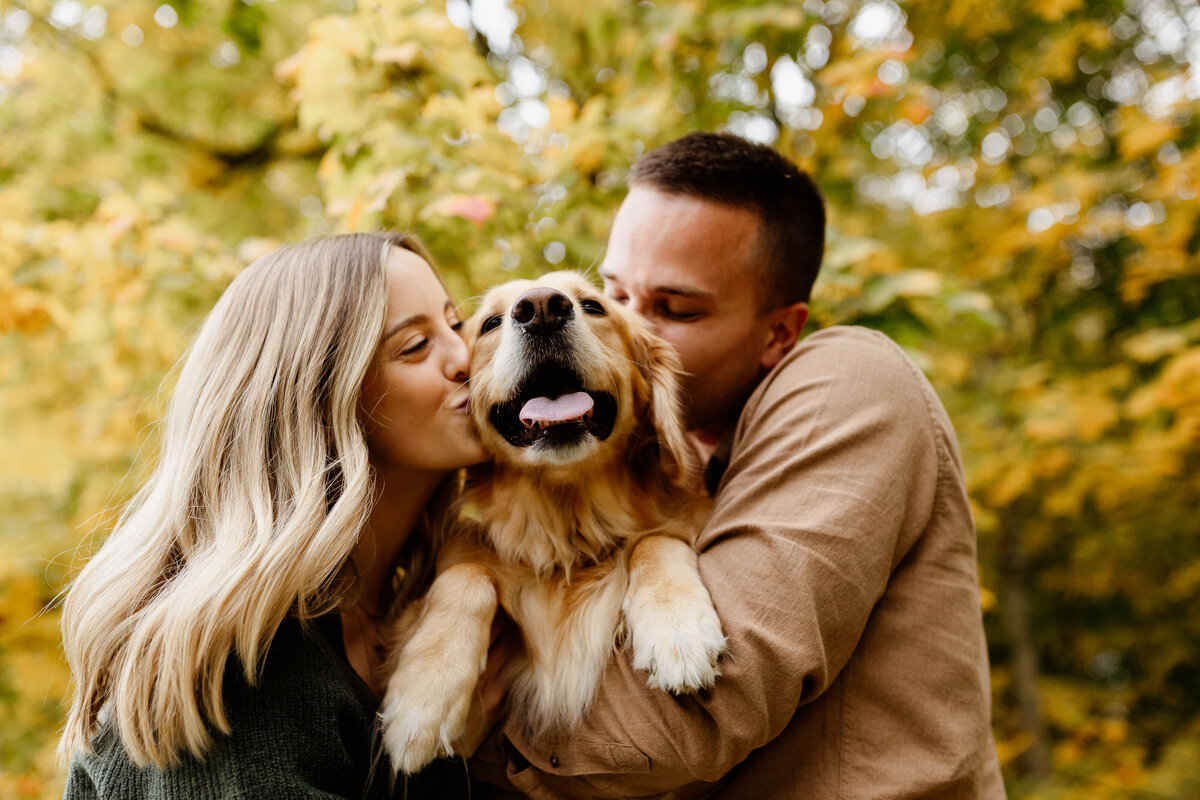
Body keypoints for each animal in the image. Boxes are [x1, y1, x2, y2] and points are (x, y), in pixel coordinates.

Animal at [379, 272, 724, 772]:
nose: (541, 308)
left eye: (594, 306)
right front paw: (423, 696)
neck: (568, 535)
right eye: (490, 323)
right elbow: (467, 575)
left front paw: (678, 629)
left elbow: (655, 541)